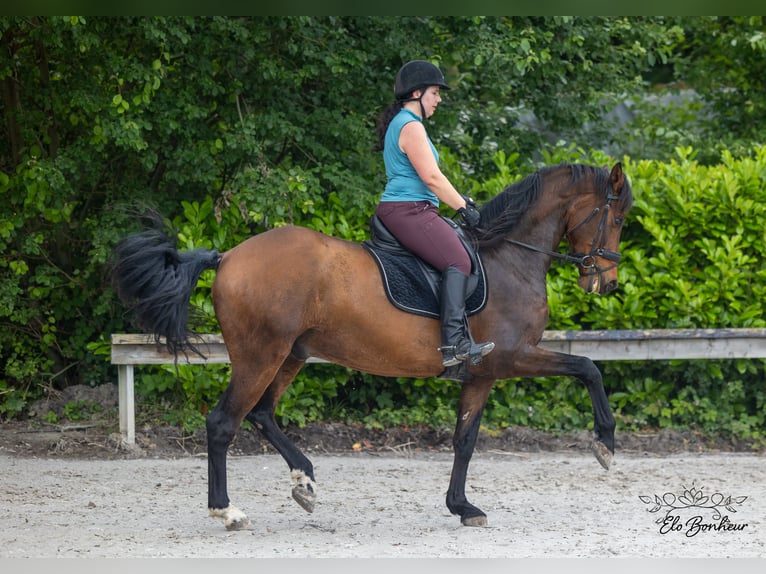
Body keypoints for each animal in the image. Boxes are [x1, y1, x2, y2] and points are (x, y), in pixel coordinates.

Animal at [111, 161, 632, 532]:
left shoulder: (482, 373)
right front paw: (605, 443)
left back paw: (304, 480)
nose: (606, 283)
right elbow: (588, 367)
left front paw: (462, 507)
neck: (510, 257)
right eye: (618, 216)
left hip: (291, 355)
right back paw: (229, 511)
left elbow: (464, 441)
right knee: (224, 423)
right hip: (260, 356)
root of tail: (229, 255)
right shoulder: (511, 356)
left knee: (261, 414)